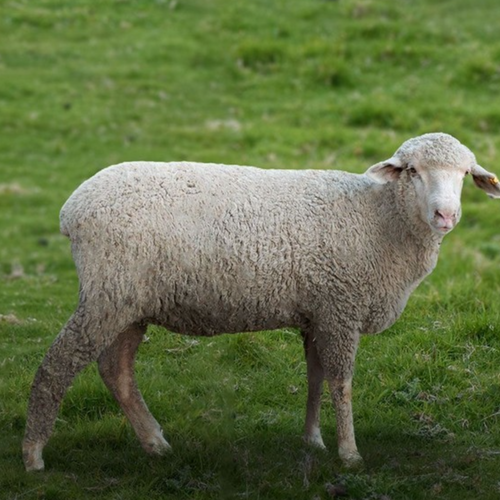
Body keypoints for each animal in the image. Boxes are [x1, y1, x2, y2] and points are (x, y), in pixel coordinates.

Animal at [22, 131, 500, 470]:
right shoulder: (341, 308)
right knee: (57, 366)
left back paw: (155, 443)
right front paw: (349, 453)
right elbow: (341, 384)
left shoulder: (319, 311)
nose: (445, 215)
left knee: (115, 370)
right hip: (107, 292)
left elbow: (315, 379)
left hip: (128, 301)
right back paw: (33, 455)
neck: (380, 219)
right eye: (413, 170)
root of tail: (72, 209)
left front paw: (313, 440)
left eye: (463, 175)